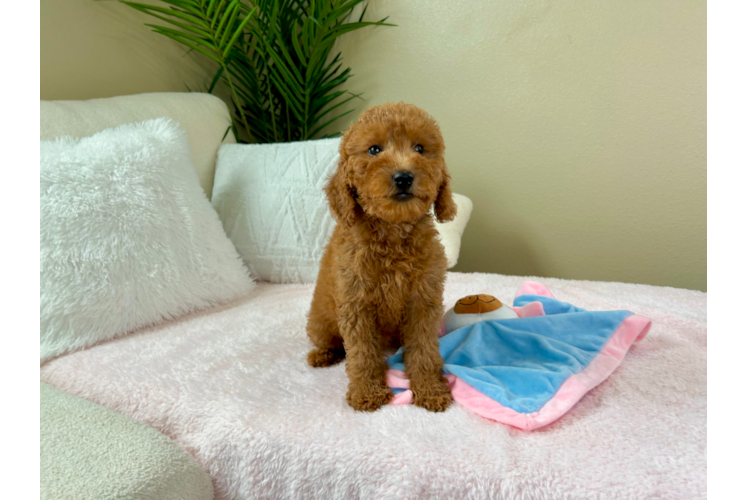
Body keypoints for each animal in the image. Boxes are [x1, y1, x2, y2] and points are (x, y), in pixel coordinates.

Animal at [304, 102, 456, 414]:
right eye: (374, 150)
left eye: (420, 148)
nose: (404, 177)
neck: (393, 233)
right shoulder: (356, 305)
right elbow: (362, 354)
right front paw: (367, 392)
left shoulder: (423, 301)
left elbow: (423, 350)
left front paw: (430, 389)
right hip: (319, 321)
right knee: (331, 341)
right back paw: (324, 355)